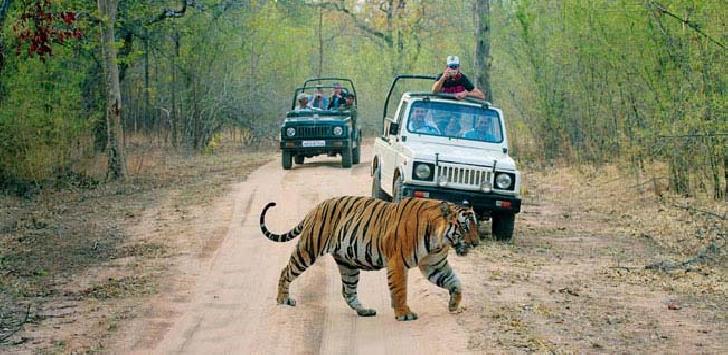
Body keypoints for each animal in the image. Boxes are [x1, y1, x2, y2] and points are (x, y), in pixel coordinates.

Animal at [258, 196, 478, 322]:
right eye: (465, 226)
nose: (476, 243)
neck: (438, 240)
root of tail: (316, 207)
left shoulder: (435, 265)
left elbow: (455, 282)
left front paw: (454, 305)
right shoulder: (398, 263)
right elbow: (400, 290)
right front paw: (404, 314)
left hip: (348, 265)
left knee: (348, 292)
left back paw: (364, 311)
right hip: (308, 250)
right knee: (286, 270)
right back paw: (283, 299)